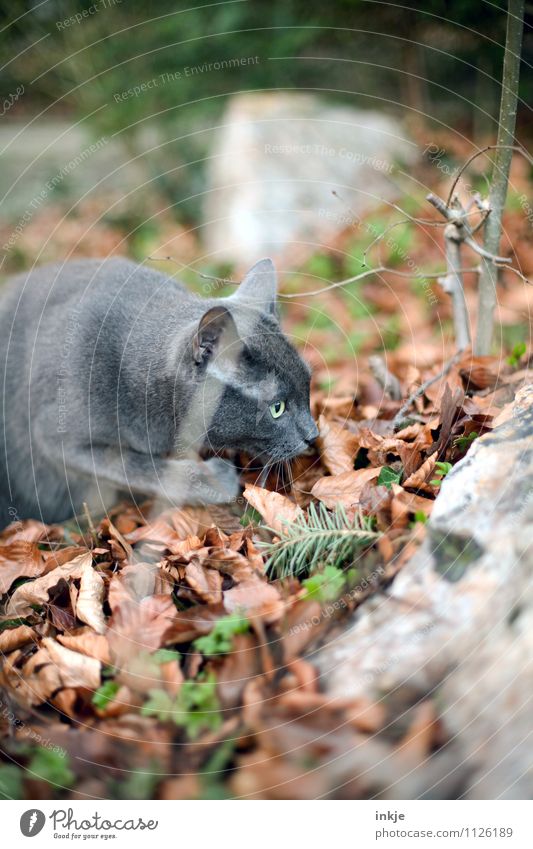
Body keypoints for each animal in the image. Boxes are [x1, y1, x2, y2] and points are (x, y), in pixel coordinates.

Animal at [0, 255, 316, 528]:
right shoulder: (56, 437)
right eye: (277, 408)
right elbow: (139, 467)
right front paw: (217, 479)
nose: (313, 435)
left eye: (308, 385)